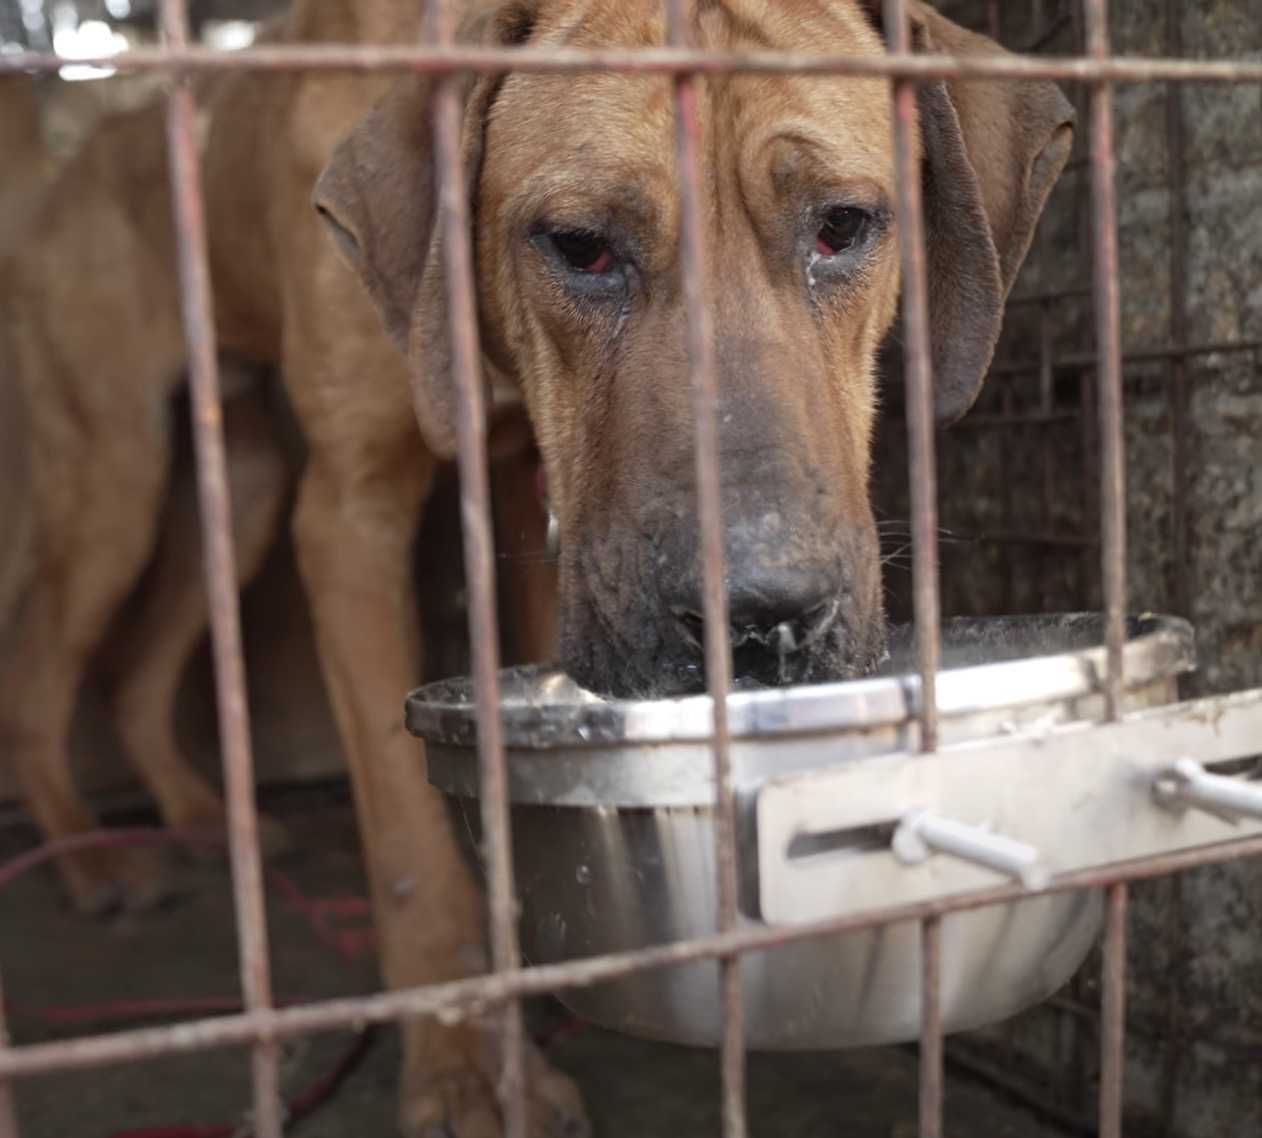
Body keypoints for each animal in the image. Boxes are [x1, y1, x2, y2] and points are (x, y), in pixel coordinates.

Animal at [201, 0, 1070, 1135]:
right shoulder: (348, 515)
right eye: (579, 246)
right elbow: (407, 848)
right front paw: (465, 1060)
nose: (759, 617)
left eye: (840, 226)